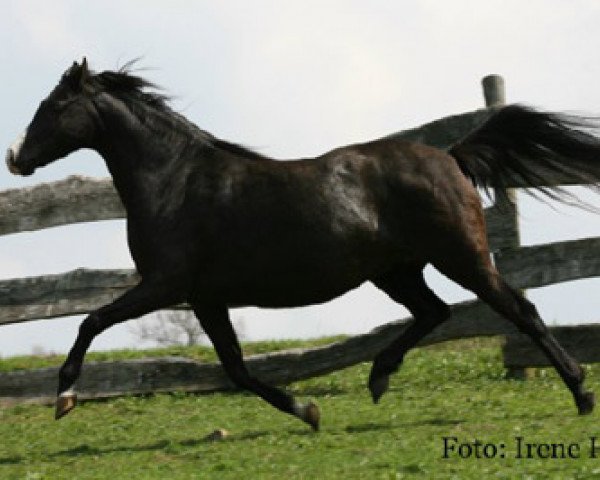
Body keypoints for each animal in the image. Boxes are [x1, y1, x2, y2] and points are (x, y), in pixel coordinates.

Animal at [5, 58, 600, 430]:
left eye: (54, 105)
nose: (15, 157)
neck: (174, 181)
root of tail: (450, 156)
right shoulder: (205, 298)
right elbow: (237, 370)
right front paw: (307, 411)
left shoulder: (164, 285)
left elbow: (91, 321)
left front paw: (64, 398)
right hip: (396, 271)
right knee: (435, 312)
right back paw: (379, 377)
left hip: (461, 256)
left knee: (519, 309)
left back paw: (580, 393)